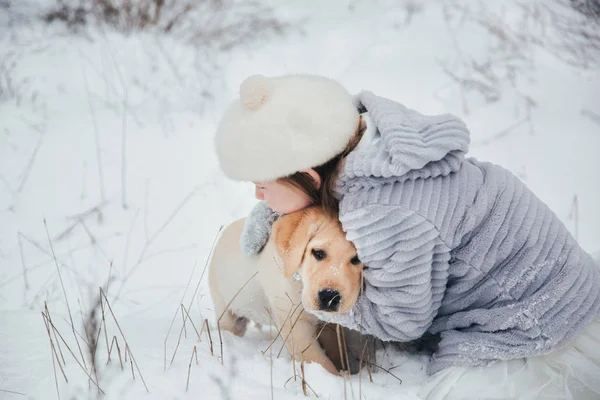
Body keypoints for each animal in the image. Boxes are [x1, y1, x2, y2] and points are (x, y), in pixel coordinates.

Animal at [209, 206, 364, 376]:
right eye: (318, 253)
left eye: (357, 259)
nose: (329, 296)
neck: (300, 281)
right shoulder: (294, 323)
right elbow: (318, 360)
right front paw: (335, 378)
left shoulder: (327, 324)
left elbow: (335, 348)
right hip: (225, 308)